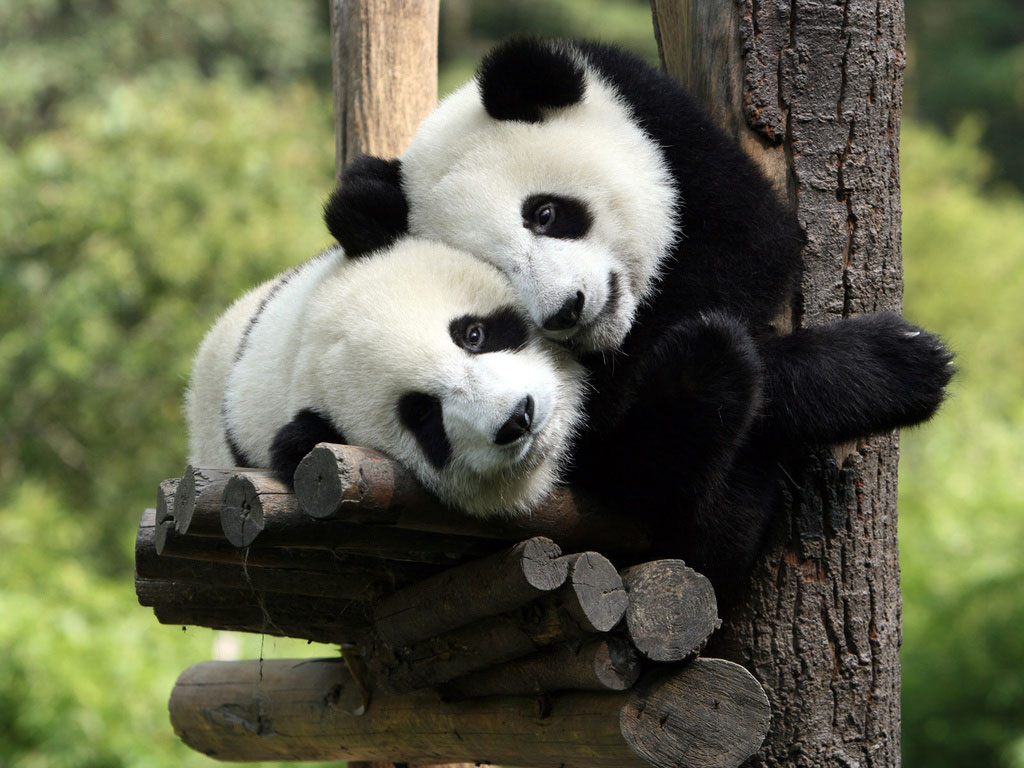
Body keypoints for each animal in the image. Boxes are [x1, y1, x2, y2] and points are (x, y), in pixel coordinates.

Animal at [329, 37, 955, 594]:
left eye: (545, 213)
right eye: (496, 271)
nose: (566, 310)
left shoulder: (669, 134)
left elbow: (751, 246)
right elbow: (619, 436)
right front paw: (895, 364)